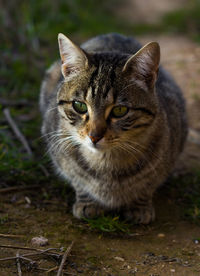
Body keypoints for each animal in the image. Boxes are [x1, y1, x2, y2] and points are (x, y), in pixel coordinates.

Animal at [39, 32, 188, 223]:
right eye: (79, 106)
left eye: (119, 110)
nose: (94, 136)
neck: (106, 163)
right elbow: (78, 181)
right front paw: (88, 203)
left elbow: (148, 185)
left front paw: (140, 207)